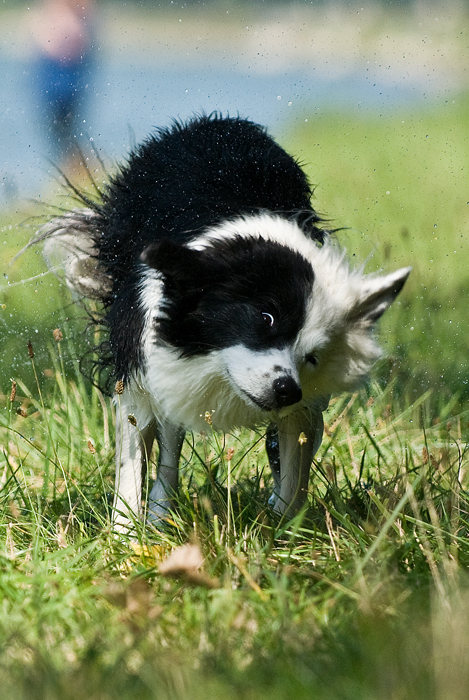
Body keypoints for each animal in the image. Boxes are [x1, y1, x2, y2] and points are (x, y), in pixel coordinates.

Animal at [37, 113, 410, 532]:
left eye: (312, 354)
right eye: (265, 318)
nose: (286, 389)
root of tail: (209, 120)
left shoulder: (302, 401)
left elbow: (294, 460)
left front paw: (282, 528)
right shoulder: (142, 360)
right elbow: (134, 455)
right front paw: (124, 532)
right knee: (168, 442)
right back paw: (160, 513)